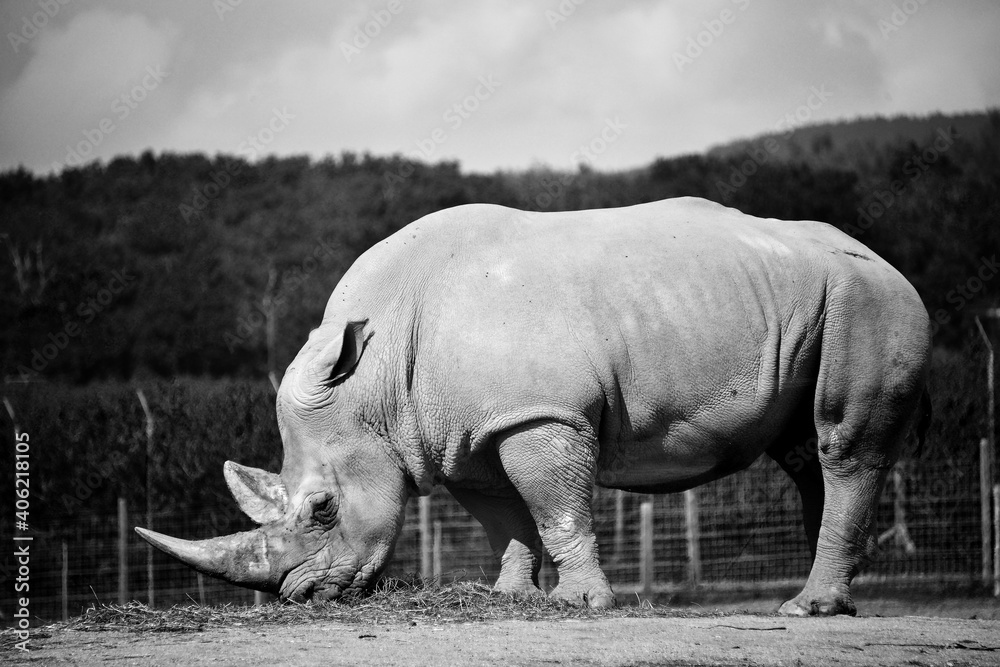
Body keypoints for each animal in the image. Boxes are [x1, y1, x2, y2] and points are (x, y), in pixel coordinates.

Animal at [138, 197, 931, 615]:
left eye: (323, 509)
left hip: (869, 298)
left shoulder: (539, 414)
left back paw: (807, 608)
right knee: (803, 453)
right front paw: (508, 594)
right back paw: (827, 603)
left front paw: (580, 603)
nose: (297, 595)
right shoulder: (461, 432)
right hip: (817, 299)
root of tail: (893, 266)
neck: (374, 376)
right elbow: (504, 517)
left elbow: (558, 508)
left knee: (841, 445)